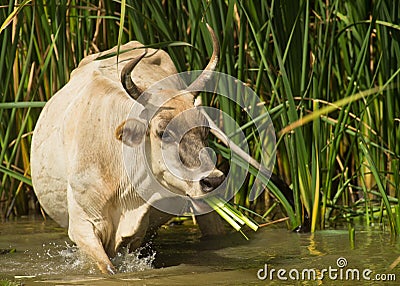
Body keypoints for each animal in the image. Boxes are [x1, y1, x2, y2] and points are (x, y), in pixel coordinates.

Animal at [29, 25, 227, 274]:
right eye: (163, 132)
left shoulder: (136, 231)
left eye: (205, 130)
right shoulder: (82, 228)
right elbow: (108, 267)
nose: (213, 179)